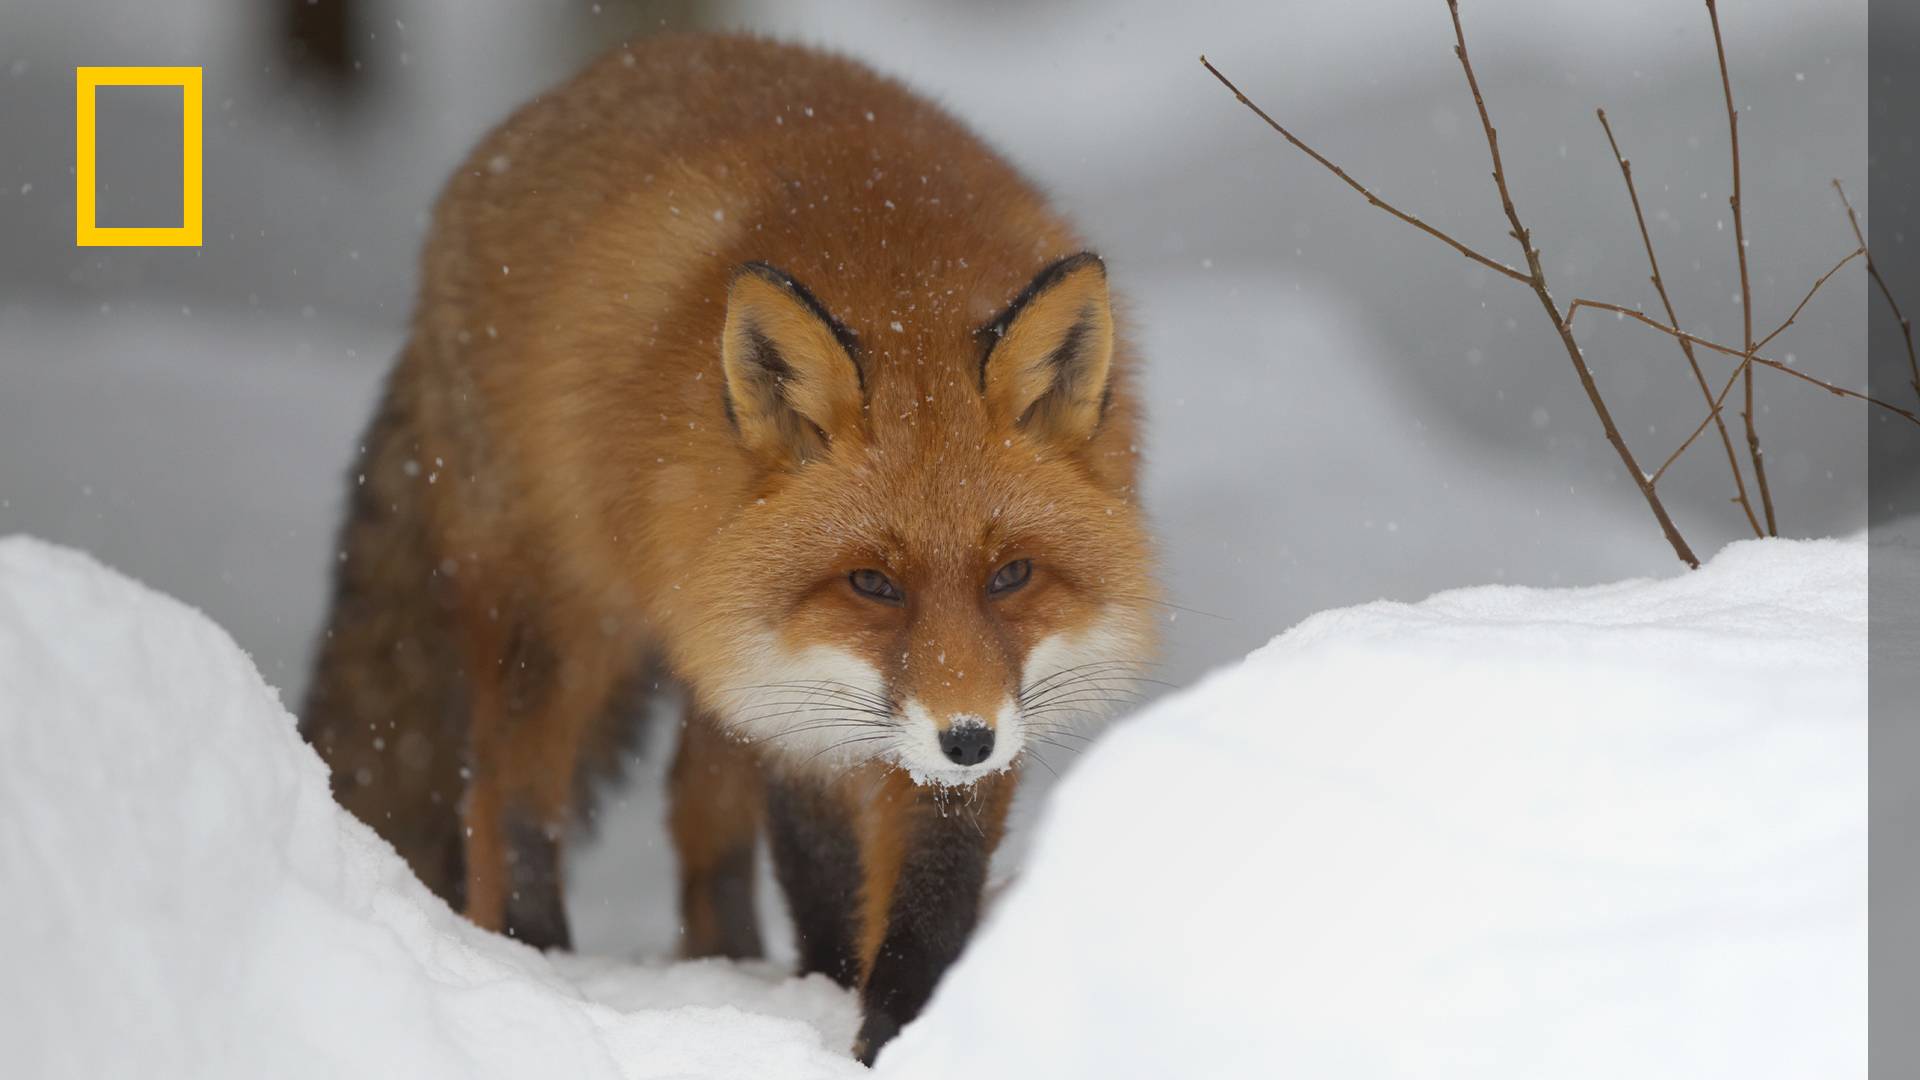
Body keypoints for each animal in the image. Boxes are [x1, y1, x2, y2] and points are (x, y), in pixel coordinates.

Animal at [303, 33, 1152, 1060]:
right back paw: (539, 960)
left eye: (1013, 575)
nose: (966, 739)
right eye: (872, 583)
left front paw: (906, 1023)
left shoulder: (948, 699)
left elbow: (931, 886)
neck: (900, 279)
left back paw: (729, 960)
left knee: (693, 810)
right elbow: (824, 871)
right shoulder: (794, 702)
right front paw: (839, 997)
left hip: (706, 645)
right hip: (565, 624)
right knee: (501, 796)